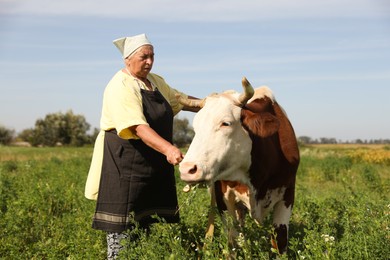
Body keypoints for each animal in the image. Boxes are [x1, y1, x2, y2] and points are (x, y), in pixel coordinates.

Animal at [178, 77, 300, 256]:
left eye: (226, 123)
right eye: (195, 127)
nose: (187, 169)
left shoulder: (288, 193)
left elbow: (280, 240)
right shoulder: (222, 197)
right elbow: (234, 239)